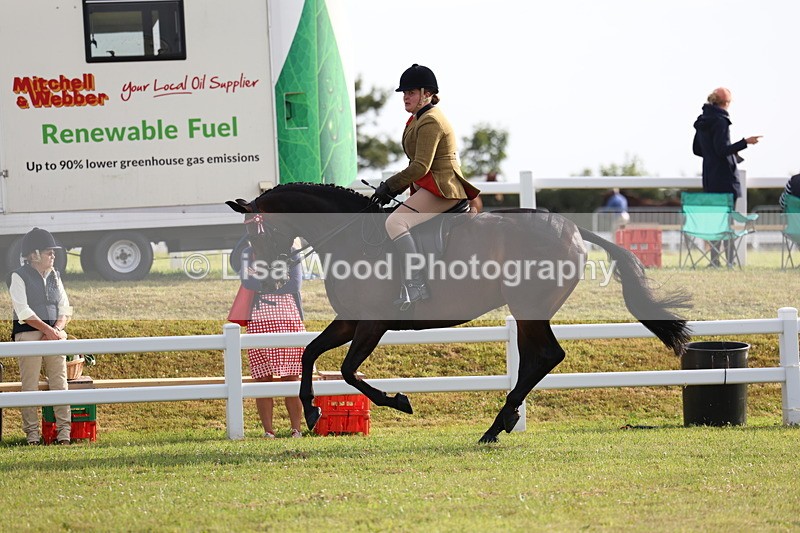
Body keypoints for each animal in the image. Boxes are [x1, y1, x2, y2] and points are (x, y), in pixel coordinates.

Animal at [227, 183, 690, 443]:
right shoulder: (350, 320)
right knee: (538, 359)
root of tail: (574, 228)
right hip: (528, 312)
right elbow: (310, 354)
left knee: (545, 356)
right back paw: (502, 423)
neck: (347, 237)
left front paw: (399, 401)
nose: (267, 281)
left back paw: (495, 426)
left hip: (528, 308)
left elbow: (346, 371)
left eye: (258, 233)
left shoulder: (372, 323)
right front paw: (311, 412)